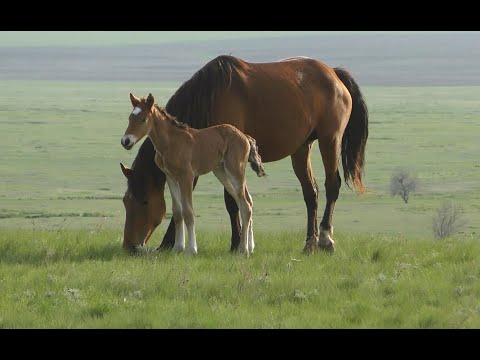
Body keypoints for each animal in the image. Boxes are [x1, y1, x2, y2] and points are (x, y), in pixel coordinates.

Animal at [118, 94, 264, 255]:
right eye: (130, 118)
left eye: (143, 119)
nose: (126, 141)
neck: (170, 143)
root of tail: (245, 137)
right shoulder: (171, 177)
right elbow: (177, 212)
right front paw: (177, 247)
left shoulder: (186, 176)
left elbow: (188, 212)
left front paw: (191, 250)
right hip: (221, 172)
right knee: (247, 200)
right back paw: (250, 247)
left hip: (235, 171)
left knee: (245, 205)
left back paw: (243, 250)